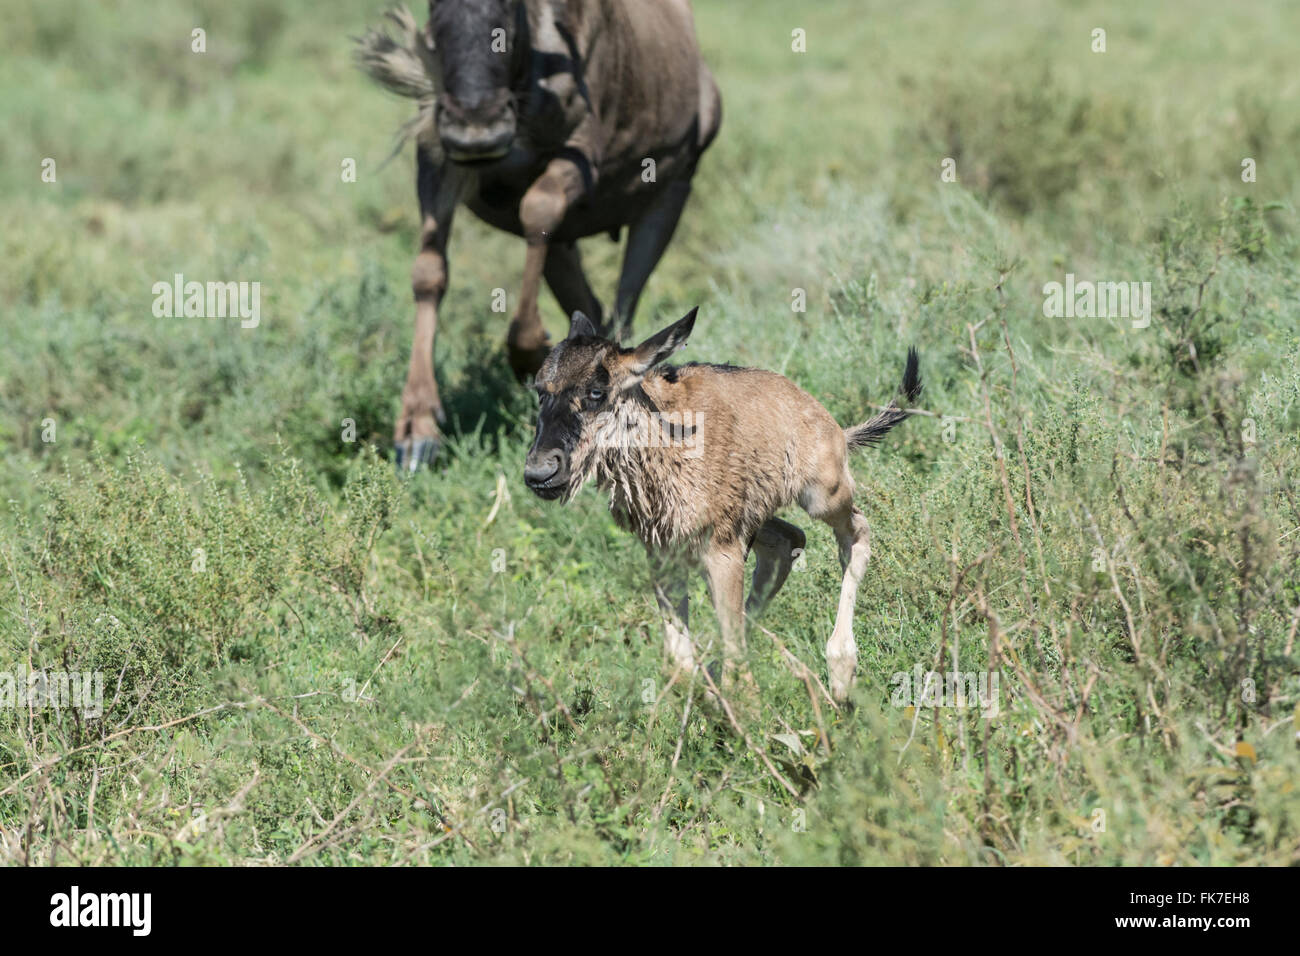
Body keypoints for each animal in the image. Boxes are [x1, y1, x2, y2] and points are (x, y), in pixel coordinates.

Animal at [522, 308, 920, 702]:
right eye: (540, 391)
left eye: (596, 391)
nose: (540, 471)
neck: (668, 443)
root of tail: (830, 422)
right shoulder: (664, 553)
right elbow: (681, 663)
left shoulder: (722, 551)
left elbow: (737, 668)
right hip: (755, 518)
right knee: (789, 541)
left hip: (824, 494)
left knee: (856, 532)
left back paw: (840, 671)